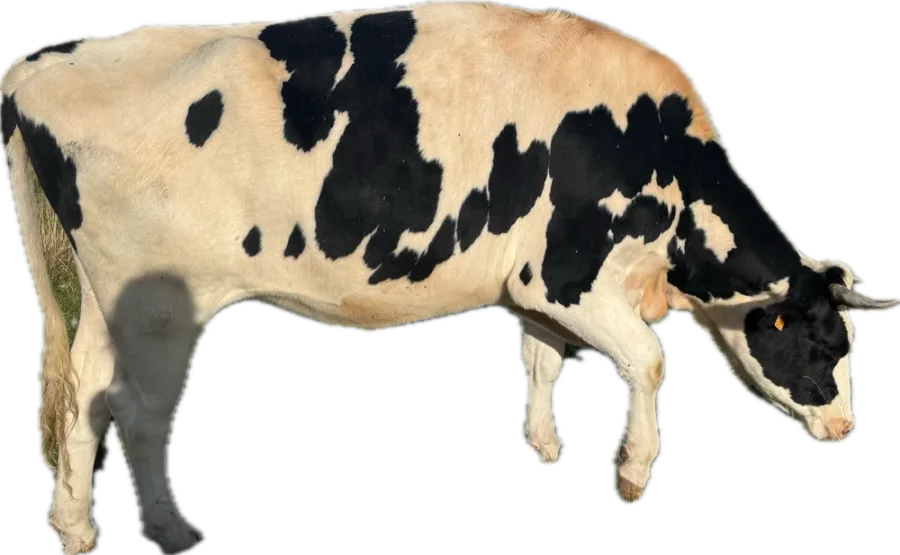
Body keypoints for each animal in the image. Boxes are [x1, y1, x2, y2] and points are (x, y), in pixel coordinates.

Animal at [3, 1, 898, 554]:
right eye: (822, 346)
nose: (846, 427)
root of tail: (46, 60)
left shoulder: (529, 286)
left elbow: (543, 359)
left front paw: (543, 443)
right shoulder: (570, 279)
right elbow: (645, 360)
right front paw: (633, 471)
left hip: (108, 300)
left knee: (84, 395)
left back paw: (76, 528)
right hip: (161, 306)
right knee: (140, 410)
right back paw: (169, 527)